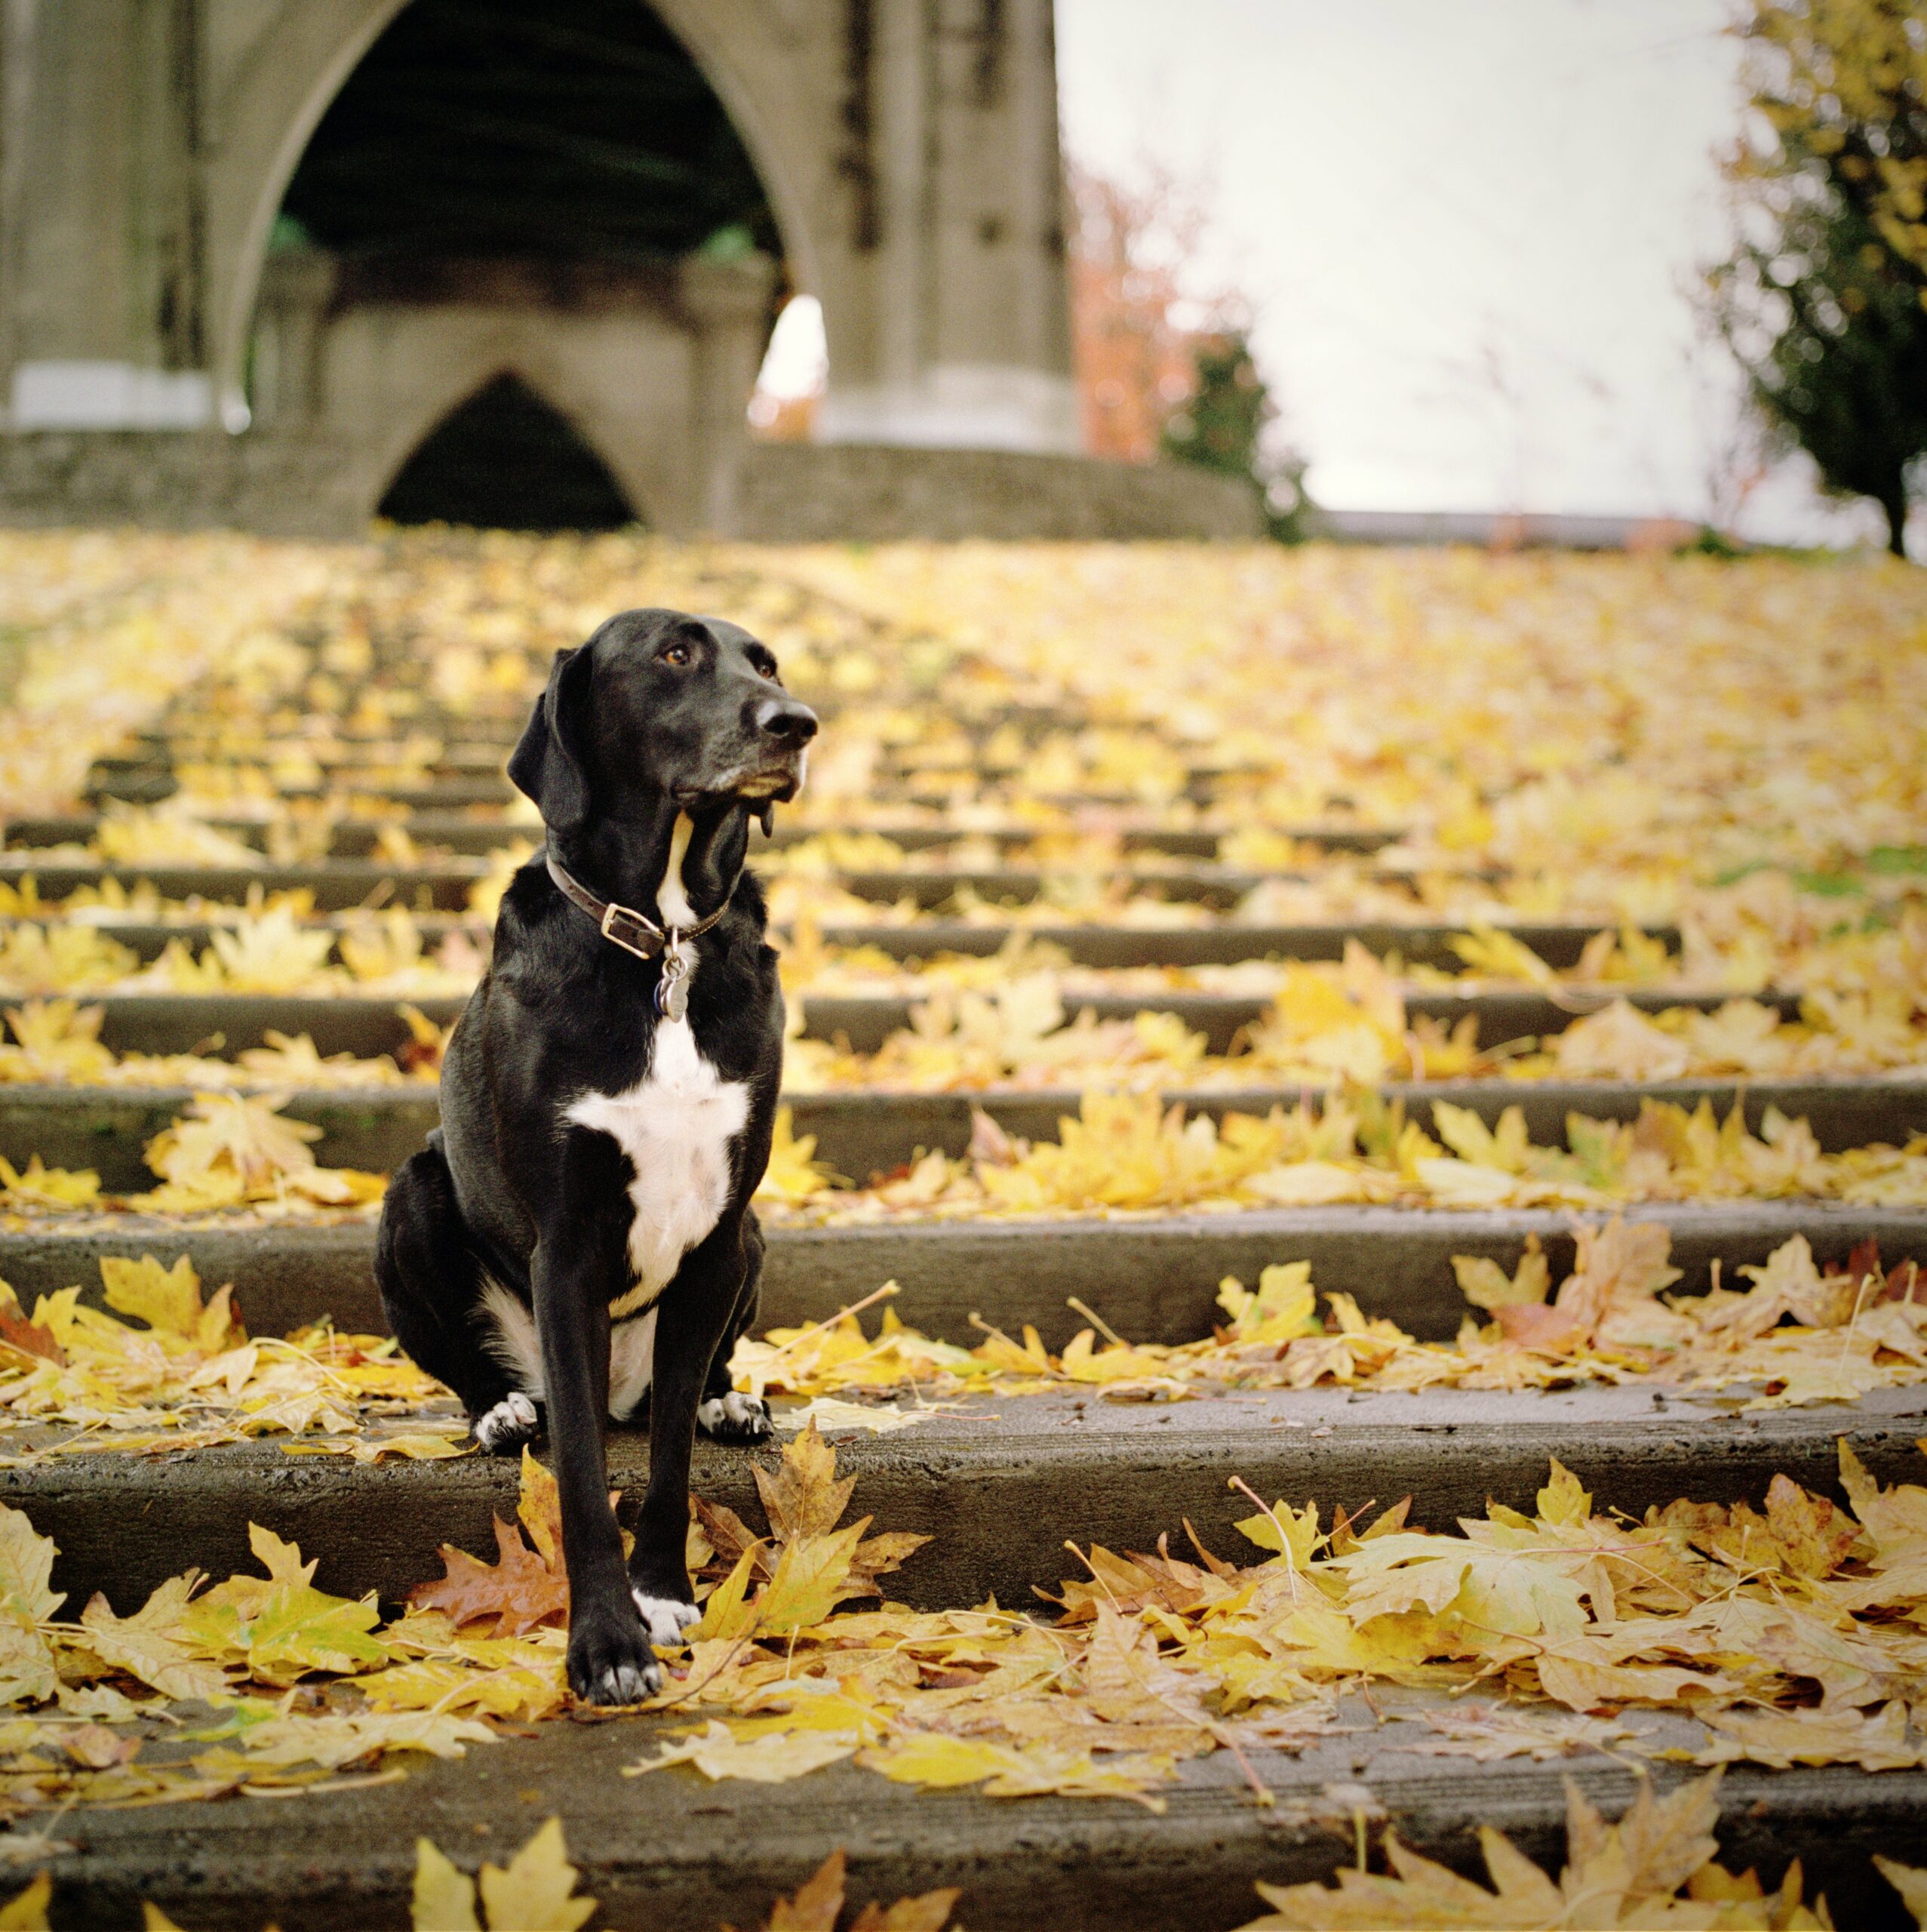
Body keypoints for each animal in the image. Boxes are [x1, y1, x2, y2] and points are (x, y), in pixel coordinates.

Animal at [374, 606, 814, 1708]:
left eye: (766, 661)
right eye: (673, 653)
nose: (796, 724)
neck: (662, 939)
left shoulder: (713, 1240)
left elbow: (663, 1461)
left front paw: (661, 1590)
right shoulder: (566, 1251)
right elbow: (579, 1470)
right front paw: (607, 1641)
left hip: (753, 1234)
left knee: (677, 1395)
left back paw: (726, 1401)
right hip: (412, 1197)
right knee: (487, 1377)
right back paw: (498, 1412)